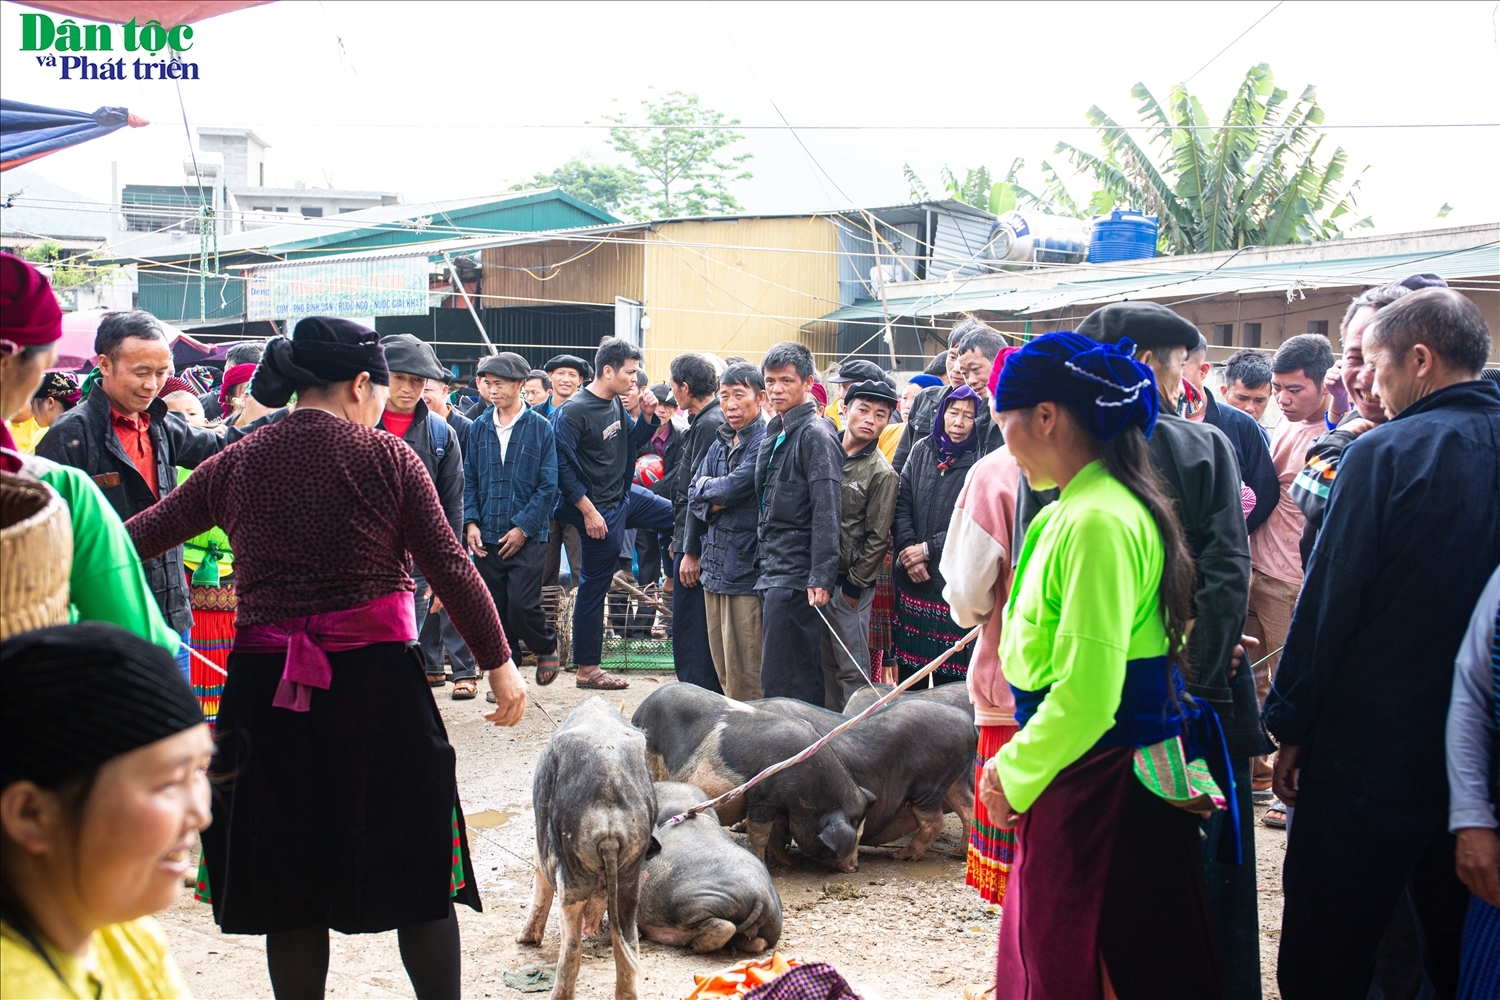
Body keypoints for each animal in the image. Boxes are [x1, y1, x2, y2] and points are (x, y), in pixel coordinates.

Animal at [519, 701, 654, 995]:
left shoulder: (543, 853)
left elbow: (539, 885)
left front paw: (524, 940)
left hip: (573, 874)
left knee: (571, 950)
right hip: (631, 870)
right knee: (628, 945)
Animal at [627, 683, 876, 869]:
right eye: (854, 835)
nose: (855, 867)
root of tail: (639, 710)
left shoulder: (782, 805)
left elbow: (779, 830)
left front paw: (786, 862)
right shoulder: (762, 798)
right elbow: (760, 833)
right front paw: (763, 862)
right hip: (651, 759)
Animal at [639, 779, 786, 953]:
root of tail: (760, 899)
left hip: (694, 902)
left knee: (723, 927)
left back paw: (695, 945)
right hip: (771, 925)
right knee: (758, 942)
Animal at [756, 695, 978, 863]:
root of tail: (969, 724)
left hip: (928, 785)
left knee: (935, 821)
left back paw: (899, 855)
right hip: (954, 782)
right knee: (968, 809)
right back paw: (959, 853)